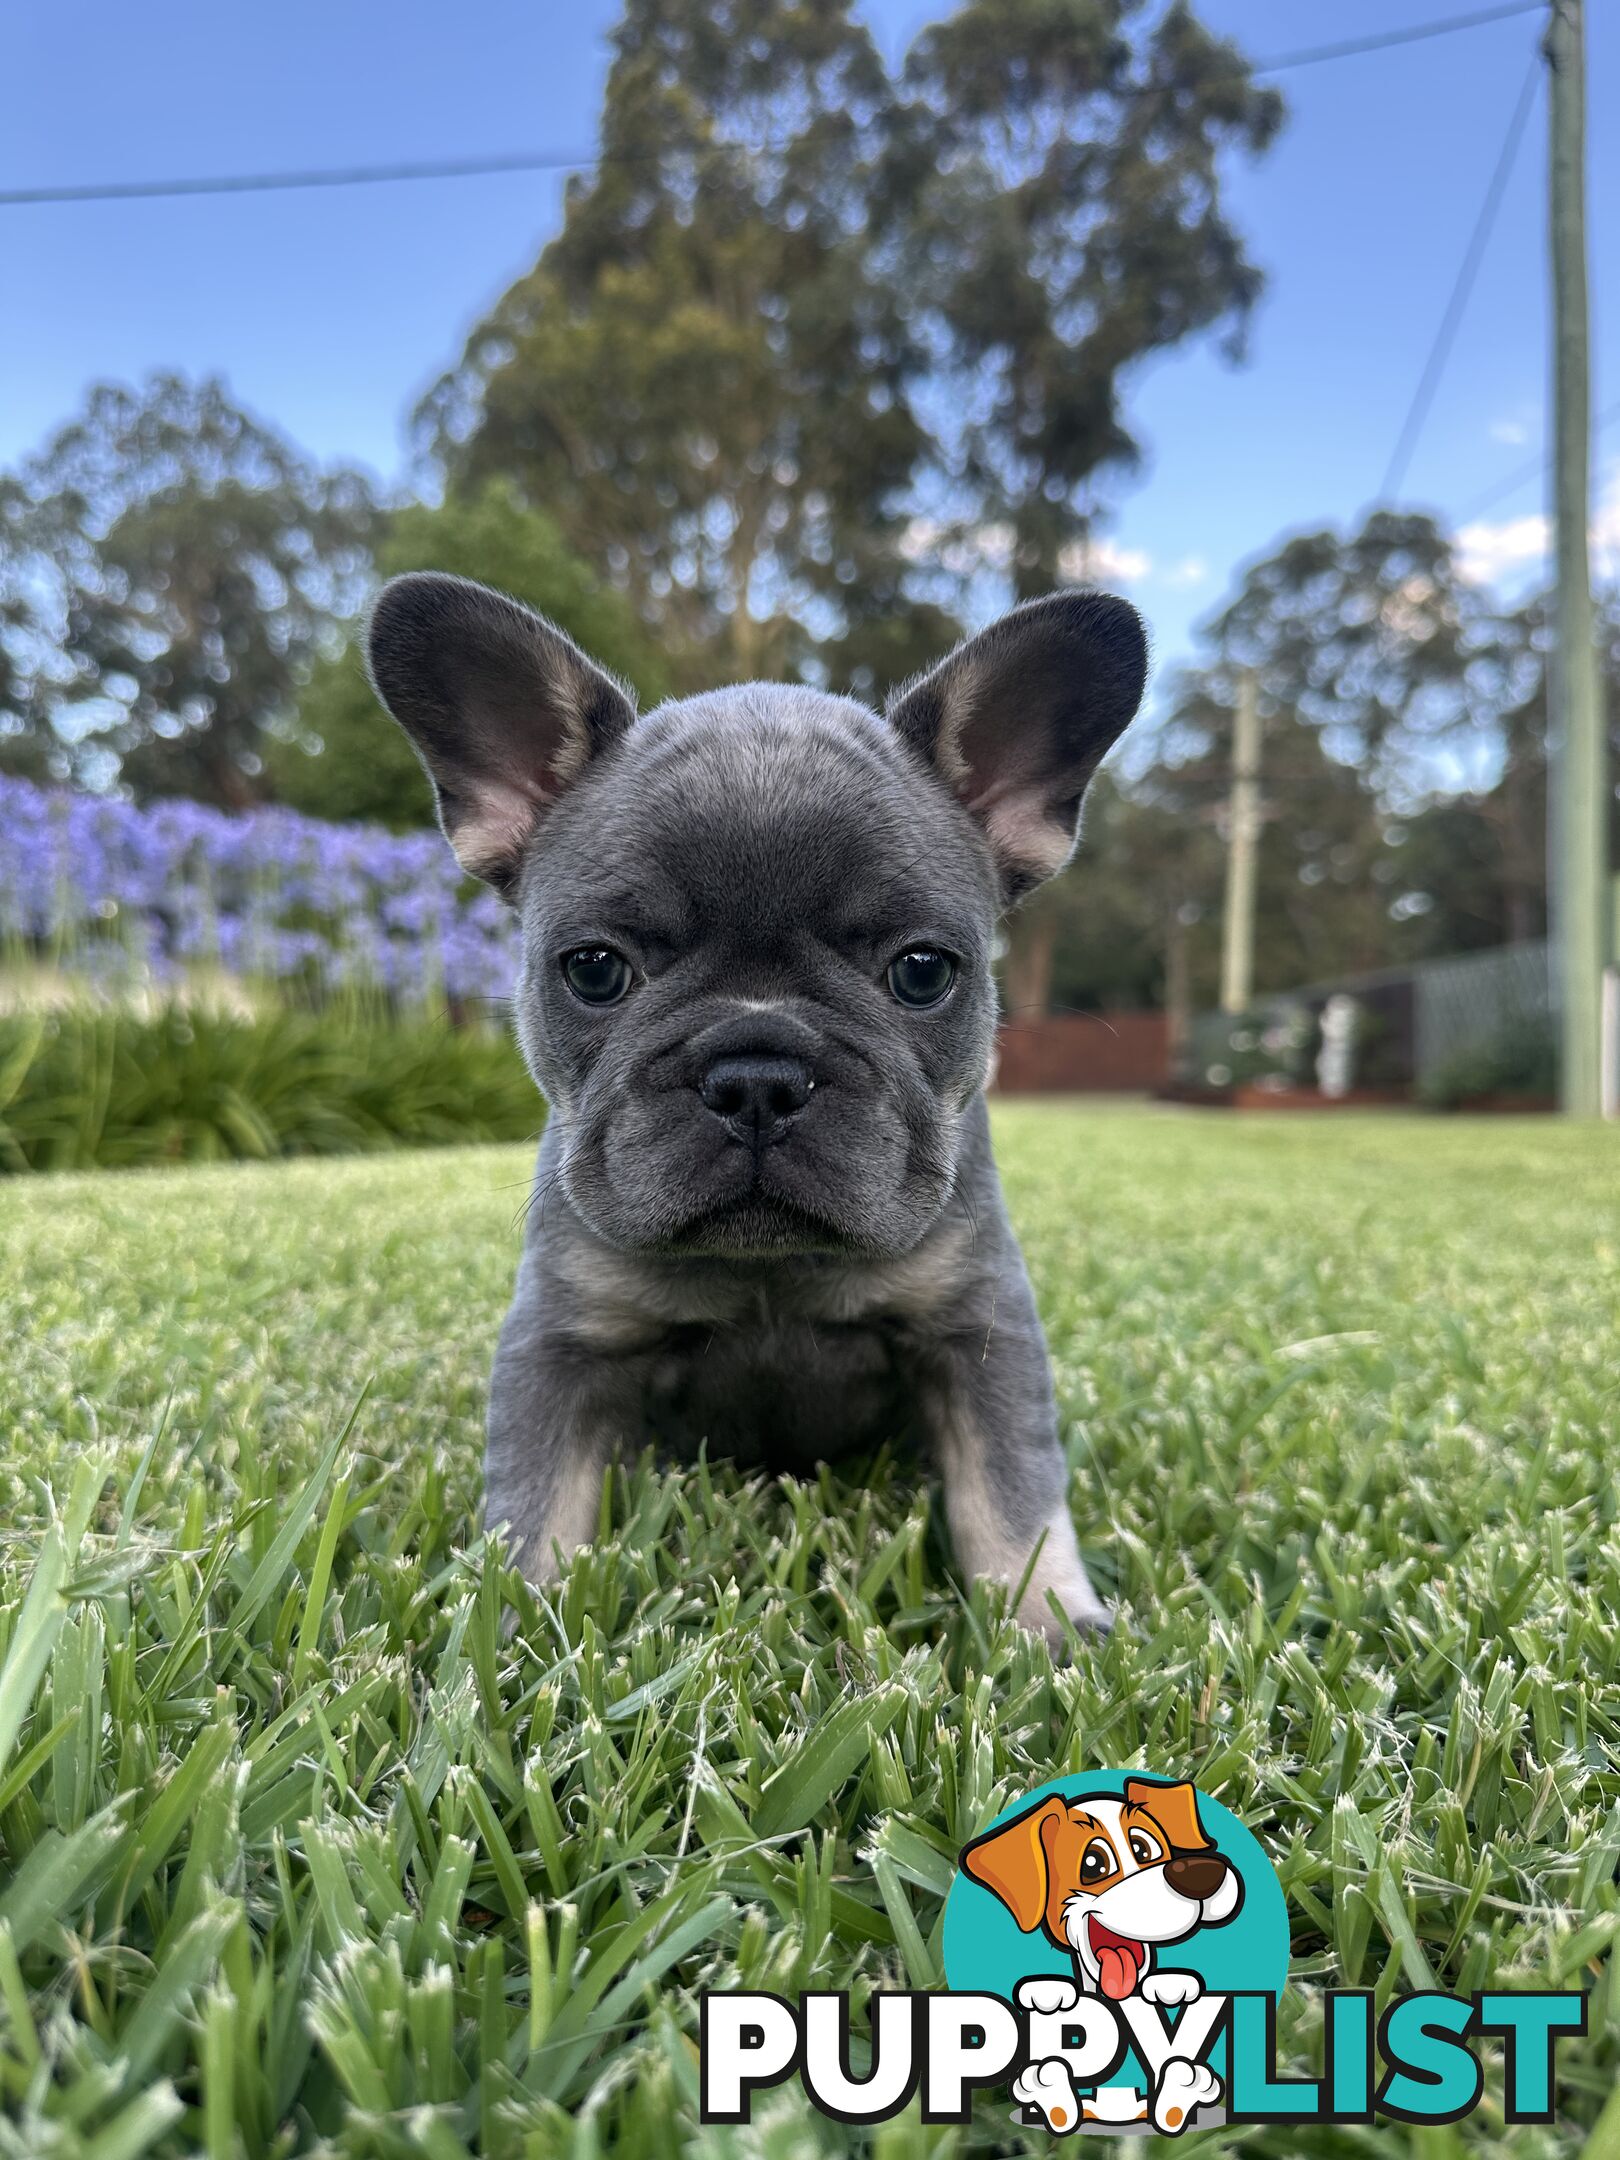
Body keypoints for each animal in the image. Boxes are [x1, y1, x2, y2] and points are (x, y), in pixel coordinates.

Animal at [373, 574, 1149, 1632]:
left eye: (921, 972)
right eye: (595, 970)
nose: (756, 1078)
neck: (771, 1270)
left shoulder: (975, 1330)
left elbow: (1010, 1489)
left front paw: (1046, 1622)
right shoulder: (564, 1344)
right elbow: (537, 1503)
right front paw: (515, 1627)